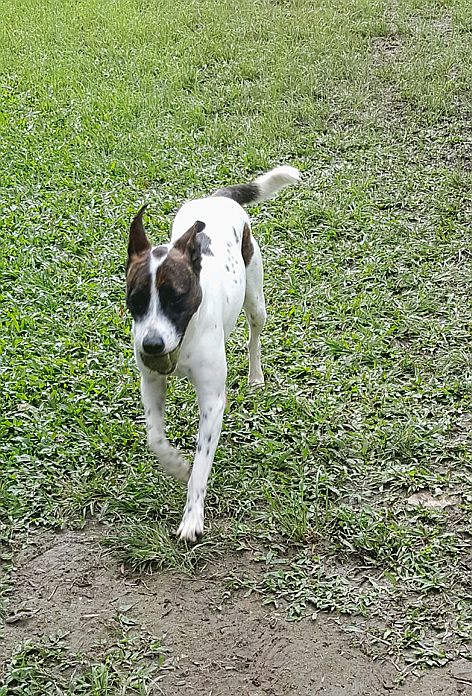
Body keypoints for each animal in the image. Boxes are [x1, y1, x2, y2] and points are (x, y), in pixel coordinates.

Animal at [125, 166, 300, 540]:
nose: (151, 346)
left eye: (175, 297)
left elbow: (202, 464)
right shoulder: (151, 382)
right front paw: (176, 465)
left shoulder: (212, 401)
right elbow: (155, 438)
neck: (184, 337)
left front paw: (192, 516)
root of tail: (217, 197)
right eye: (136, 299)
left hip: (255, 299)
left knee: (254, 337)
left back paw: (256, 376)